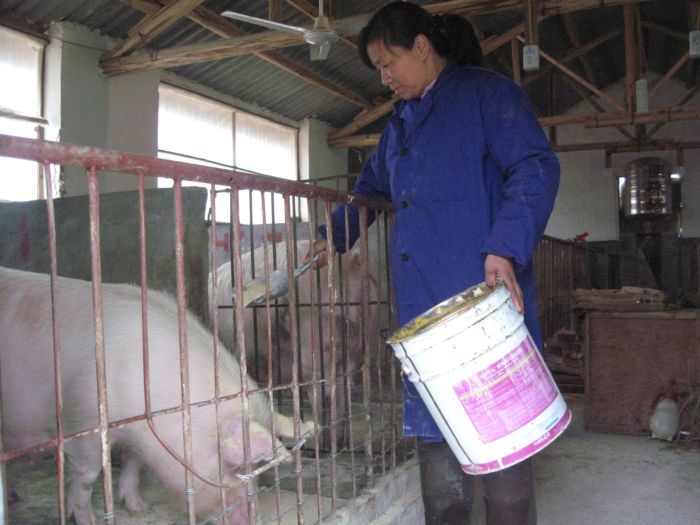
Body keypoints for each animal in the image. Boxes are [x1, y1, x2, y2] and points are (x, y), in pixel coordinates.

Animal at [0, 266, 312, 525]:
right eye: (234, 468)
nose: (254, 517)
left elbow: (134, 465)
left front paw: (141, 509)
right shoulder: (83, 421)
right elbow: (89, 474)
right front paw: (89, 519)